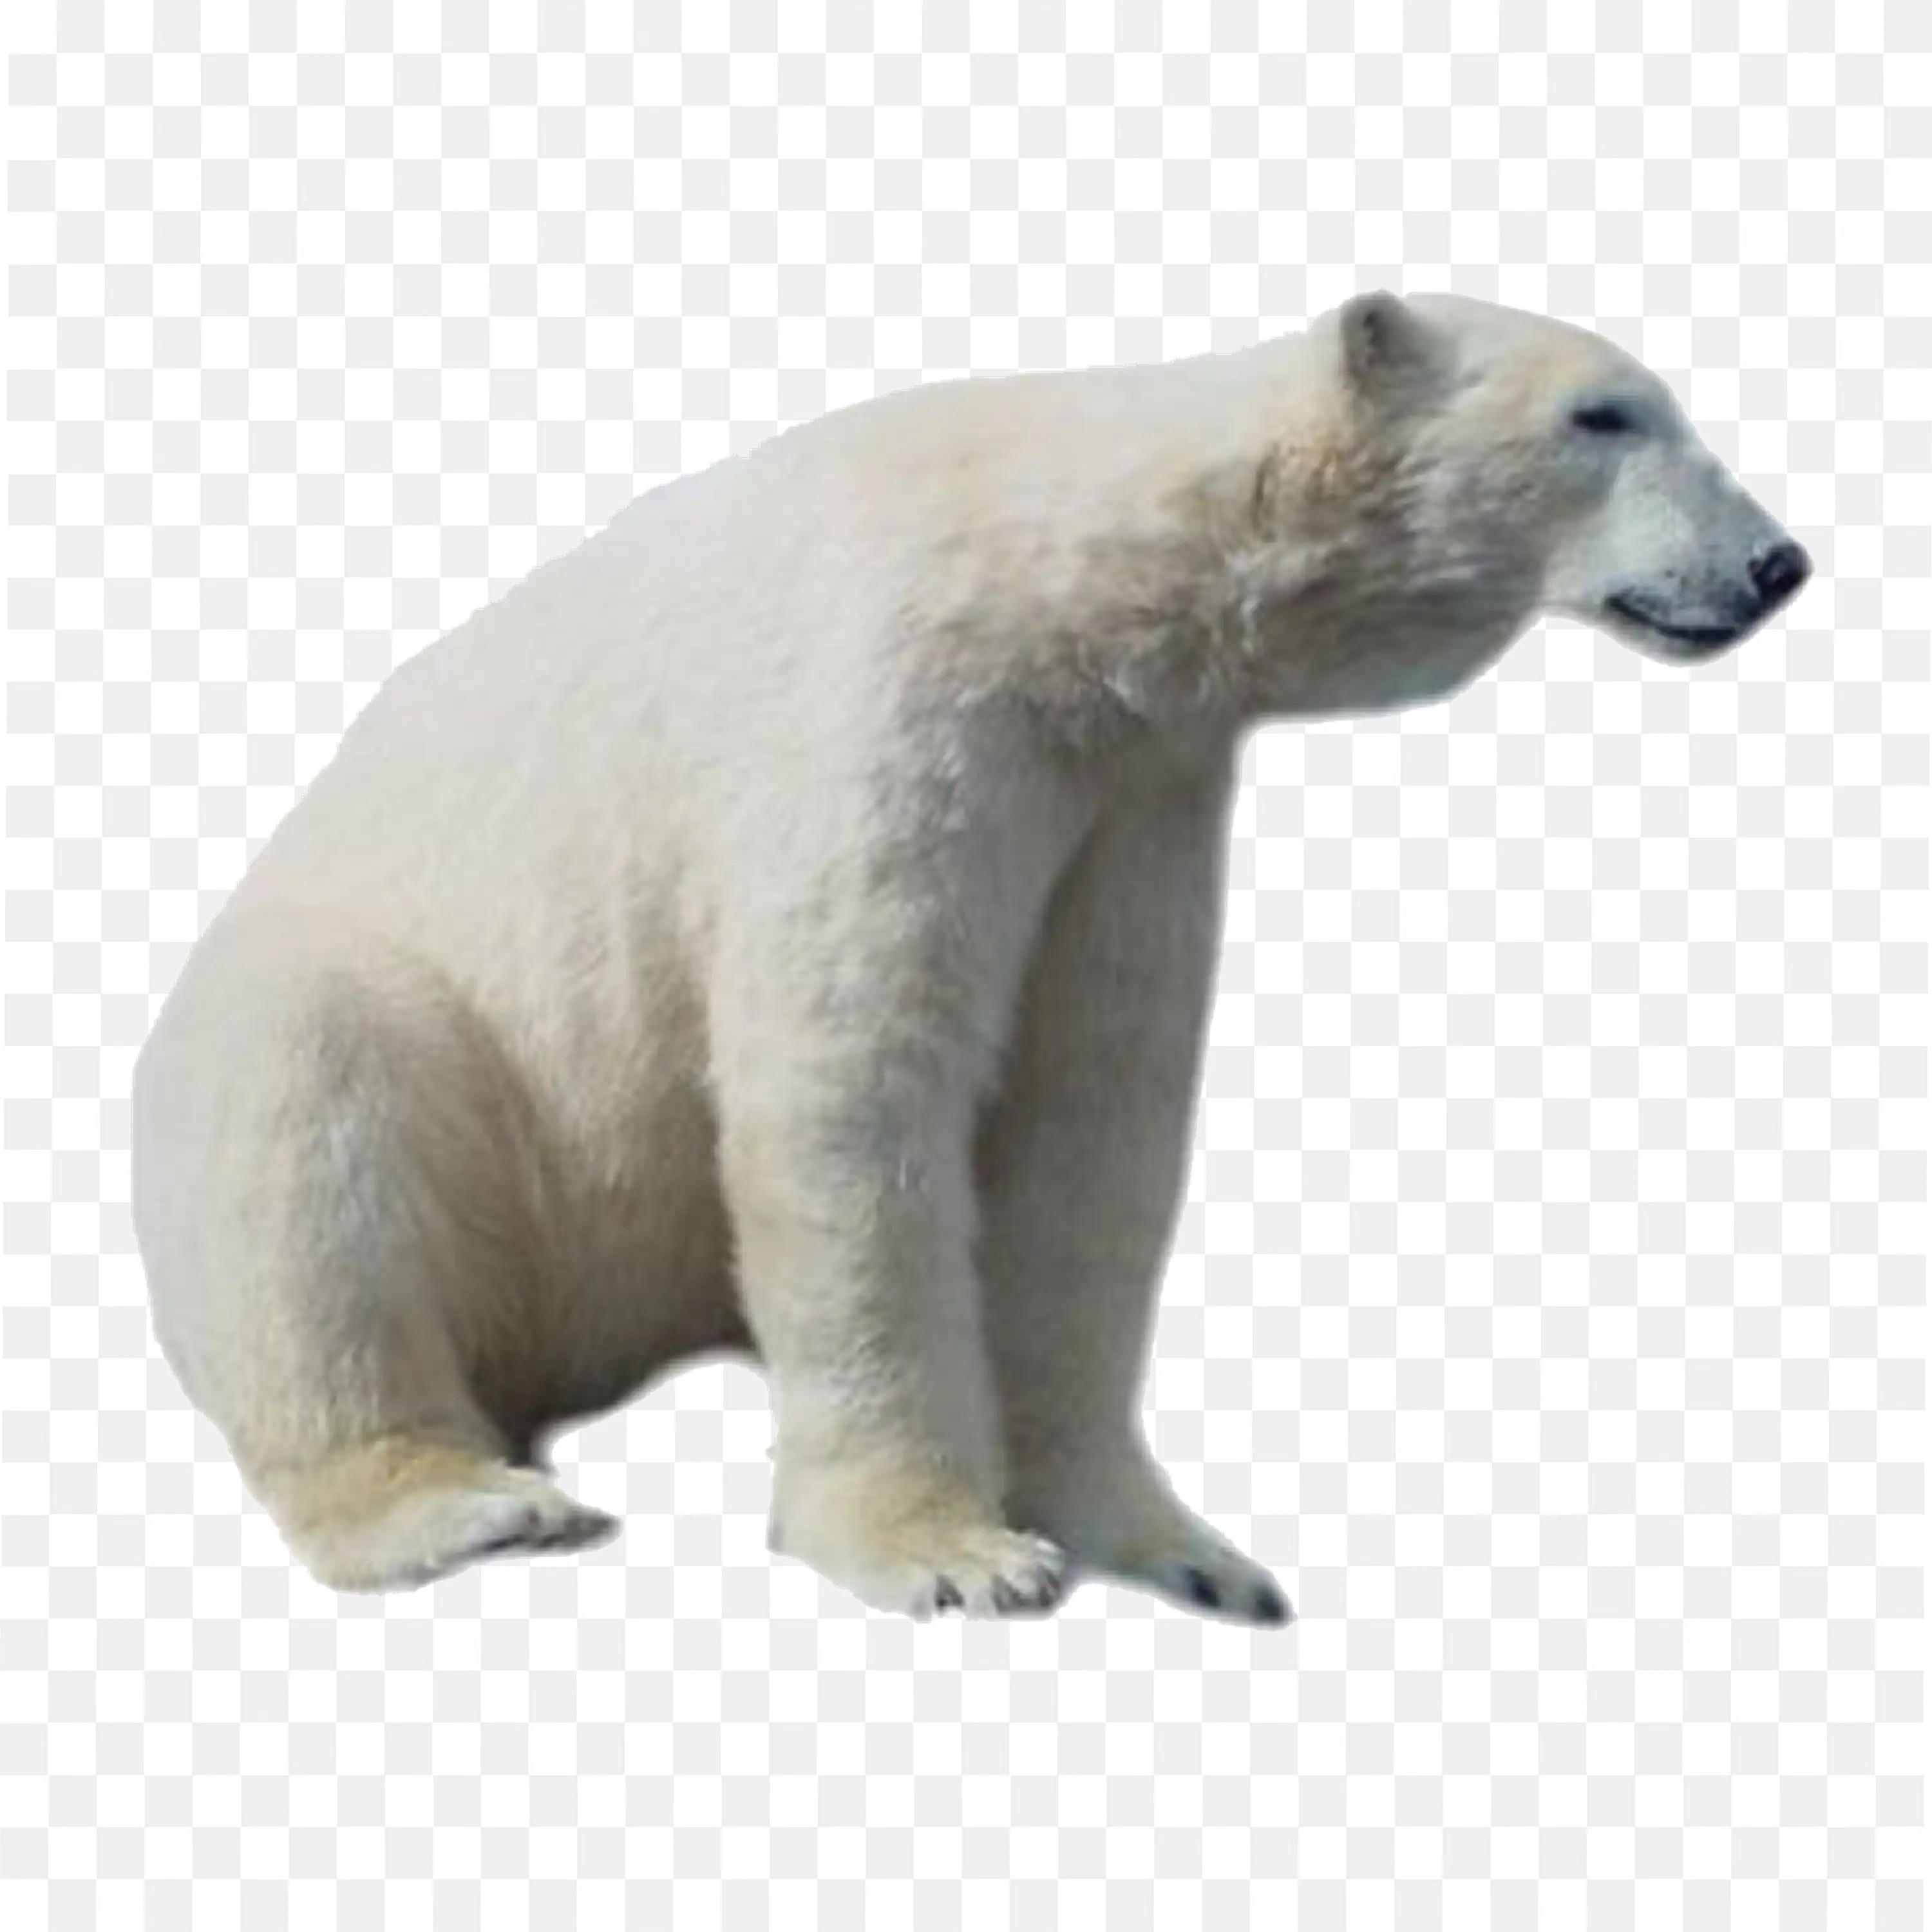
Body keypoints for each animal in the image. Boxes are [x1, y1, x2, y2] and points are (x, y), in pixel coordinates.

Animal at [129, 293, 1809, 1618]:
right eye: (1604, 413)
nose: (1776, 562)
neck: (1066, 581)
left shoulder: (1129, 789)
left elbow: (1087, 1122)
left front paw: (1180, 1550)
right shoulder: (899, 711)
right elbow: (858, 1087)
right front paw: (948, 1552)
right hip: (443, 1067)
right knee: (309, 1107)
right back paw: (472, 1498)